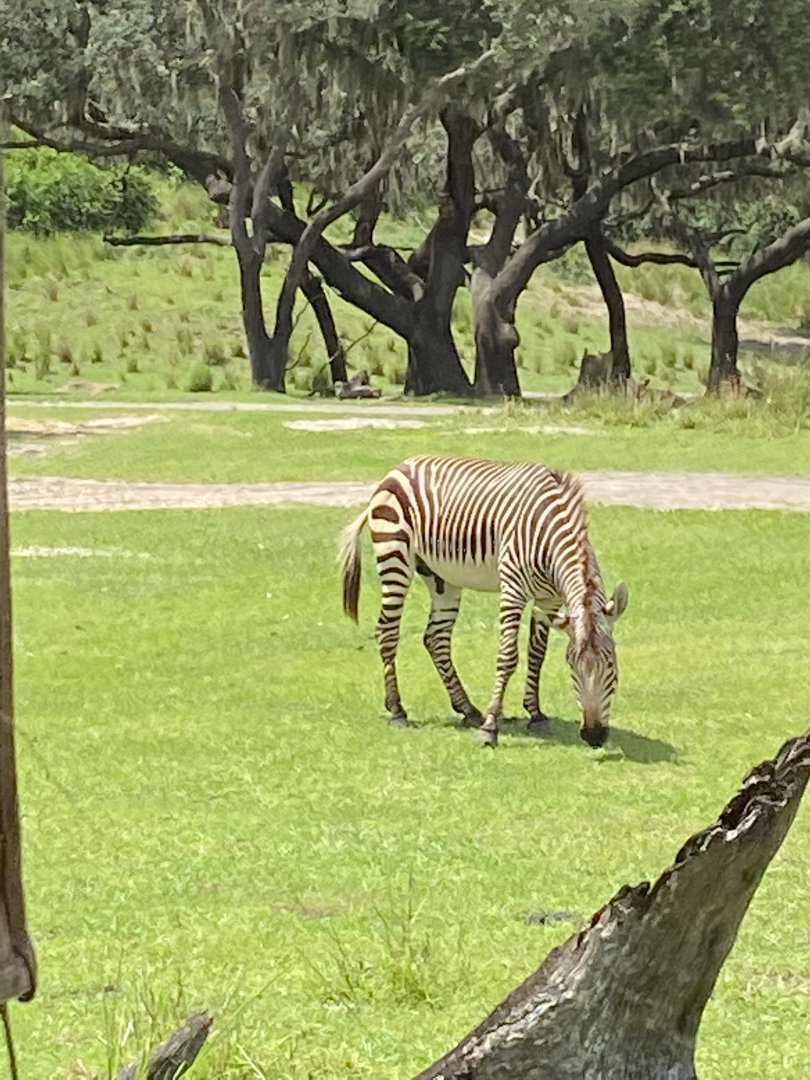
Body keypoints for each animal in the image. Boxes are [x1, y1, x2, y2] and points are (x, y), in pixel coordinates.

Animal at [339, 454, 628, 749]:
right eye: (572, 667)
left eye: (612, 665)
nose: (594, 736)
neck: (549, 532)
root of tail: (399, 467)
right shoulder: (513, 589)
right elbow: (508, 657)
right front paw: (490, 727)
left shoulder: (549, 600)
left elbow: (537, 654)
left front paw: (535, 714)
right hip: (395, 556)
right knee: (387, 631)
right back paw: (398, 711)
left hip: (442, 577)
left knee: (435, 638)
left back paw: (467, 709)